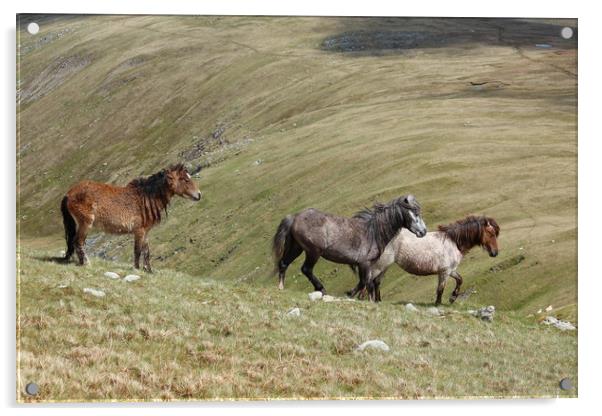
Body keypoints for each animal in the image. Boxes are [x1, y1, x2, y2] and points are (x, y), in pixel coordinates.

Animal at [61, 164, 202, 272]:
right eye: (185, 179)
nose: (199, 195)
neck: (146, 198)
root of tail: (69, 193)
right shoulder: (138, 231)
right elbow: (137, 251)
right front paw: (137, 269)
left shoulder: (145, 232)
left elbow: (146, 251)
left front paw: (148, 270)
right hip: (85, 224)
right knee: (78, 242)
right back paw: (86, 263)